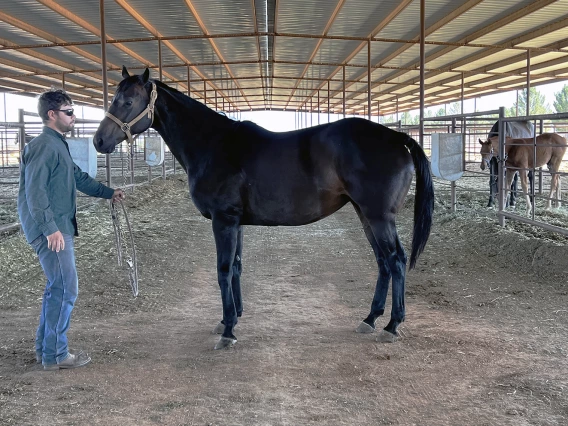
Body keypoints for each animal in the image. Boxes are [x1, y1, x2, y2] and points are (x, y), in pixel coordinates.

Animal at [93, 67, 434, 350]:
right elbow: (236, 267)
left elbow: (223, 270)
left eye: (127, 101)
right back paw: (370, 319)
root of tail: (396, 136)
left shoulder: (223, 220)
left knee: (396, 261)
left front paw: (228, 332)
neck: (212, 144)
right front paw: (230, 318)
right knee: (383, 262)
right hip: (365, 215)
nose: (98, 141)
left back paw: (391, 325)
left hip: (378, 217)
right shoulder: (236, 222)